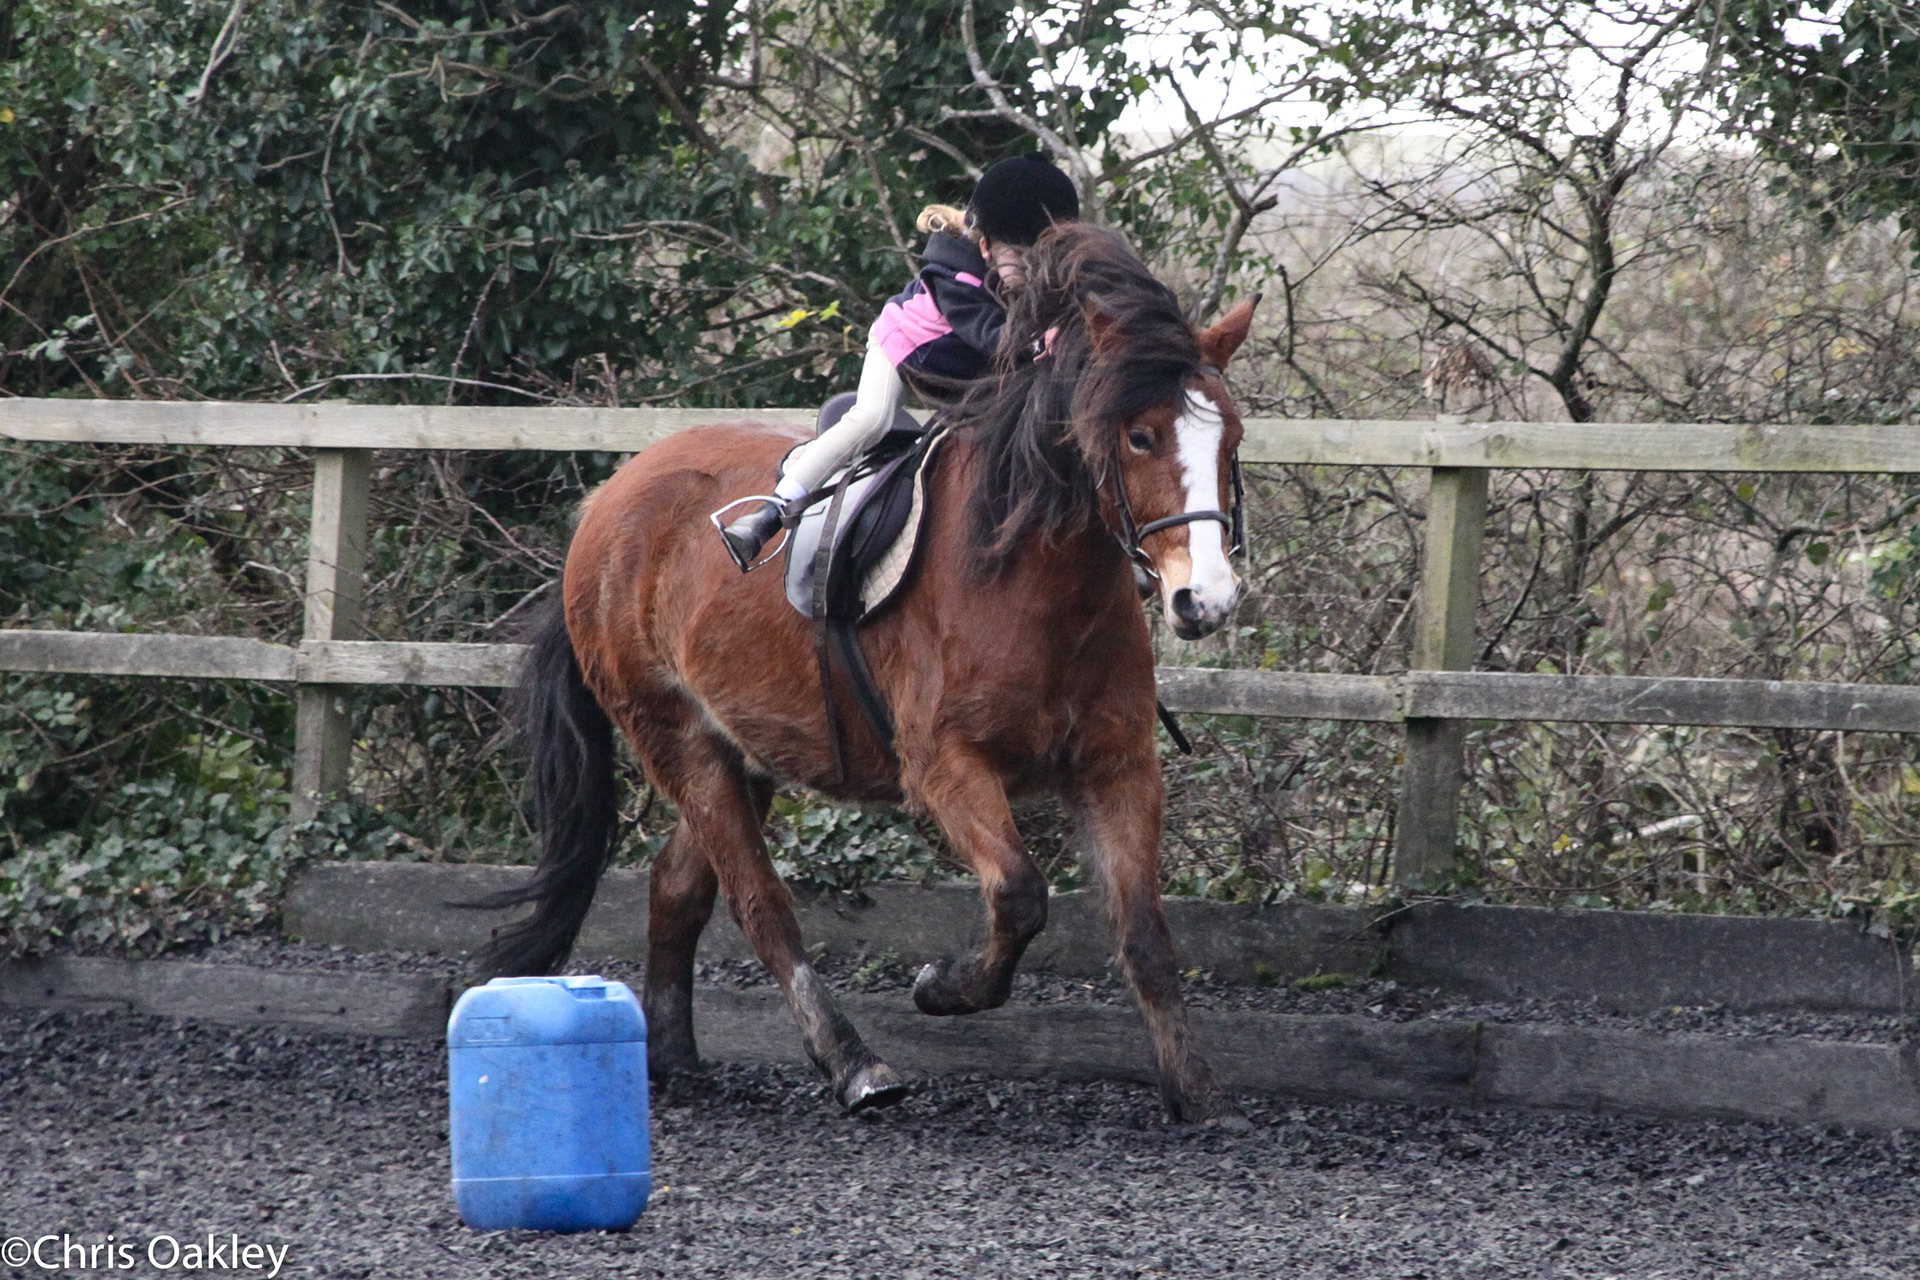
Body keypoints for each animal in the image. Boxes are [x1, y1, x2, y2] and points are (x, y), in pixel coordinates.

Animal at [480, 222, 1259, 1120]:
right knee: (760, 903)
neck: (1037, 579)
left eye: (1231, 439)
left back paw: (673, 1056)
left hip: (741, 748)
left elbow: (1145, 934)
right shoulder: (947, 768)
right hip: (672, 736)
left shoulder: (1119, 766)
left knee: (679, 886)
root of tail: (605, 503)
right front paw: (942, 987)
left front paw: (1196, 1089)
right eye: (1139, 436)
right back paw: (853, 1063)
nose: (1206, 601)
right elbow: (1020, 893)